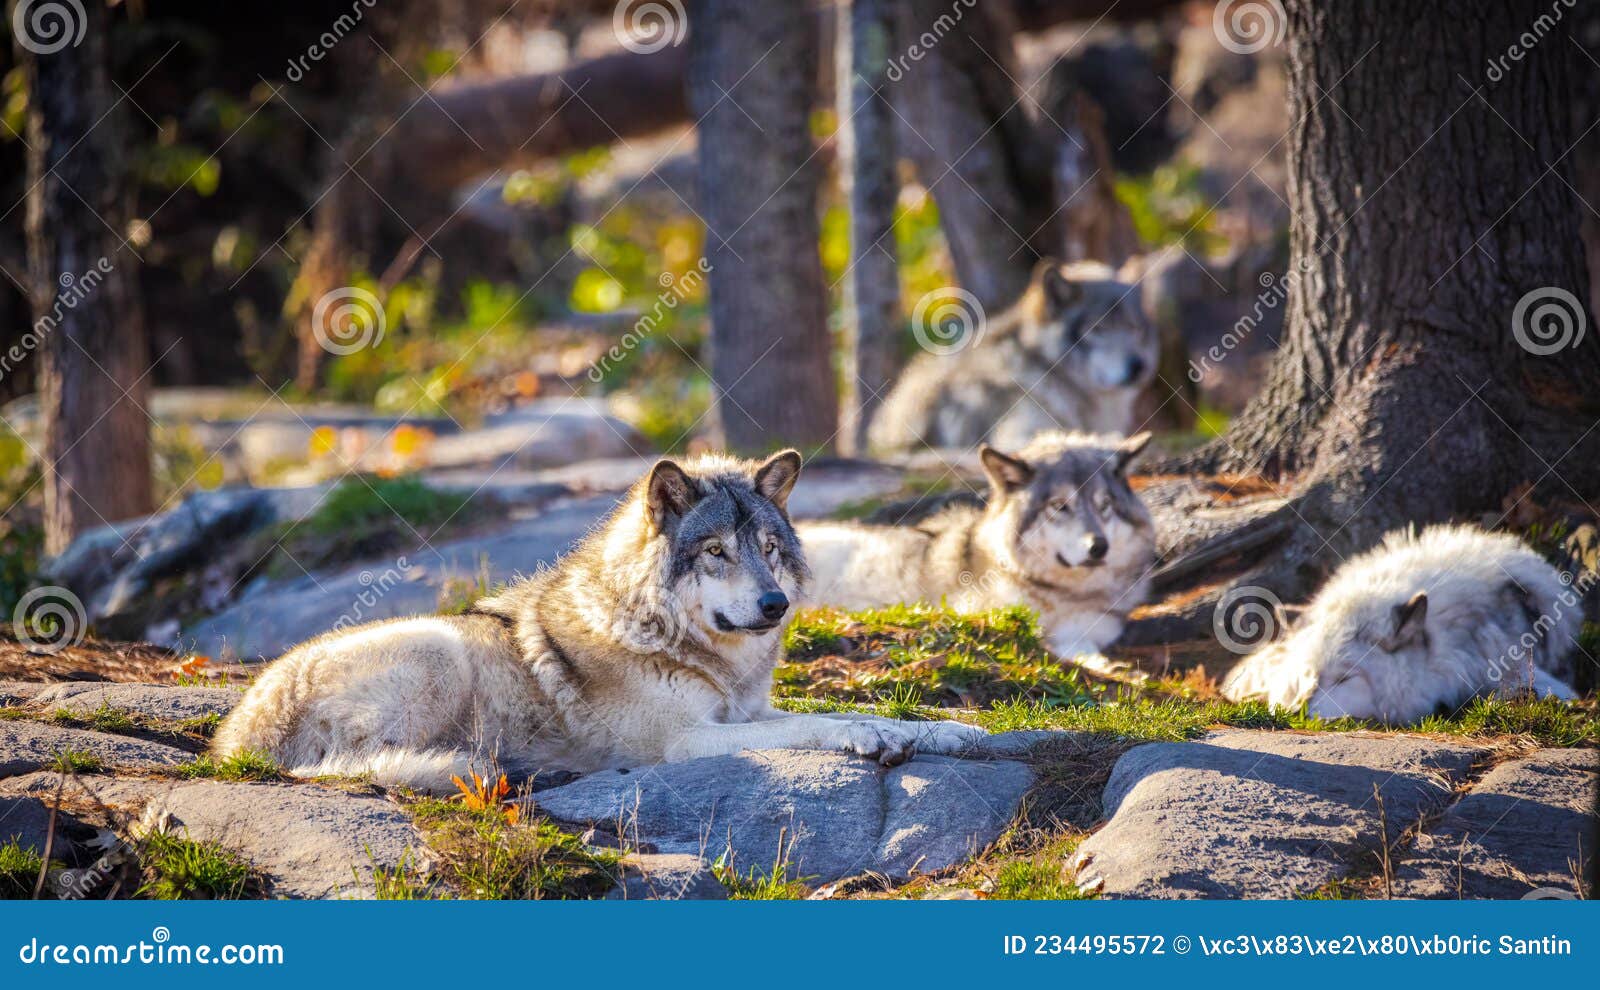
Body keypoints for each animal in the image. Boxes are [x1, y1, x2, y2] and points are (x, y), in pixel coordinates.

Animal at [212, 454, 985, 793]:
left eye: (768, 549)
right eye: (715, 552)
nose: (775, 606)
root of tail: (232, 744)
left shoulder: (743, 713)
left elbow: (852, 713)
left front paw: (952, 732)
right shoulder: (686, 740)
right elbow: (819, 727)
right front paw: (869, 738)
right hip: (437, 649)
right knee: (359, 766)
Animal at [796, 431, 1152, 658]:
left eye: (1104, 505)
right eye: (1060, 506)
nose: (1098, 547)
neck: (1059, 594)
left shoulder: (1090, 629)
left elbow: (1084, 646)